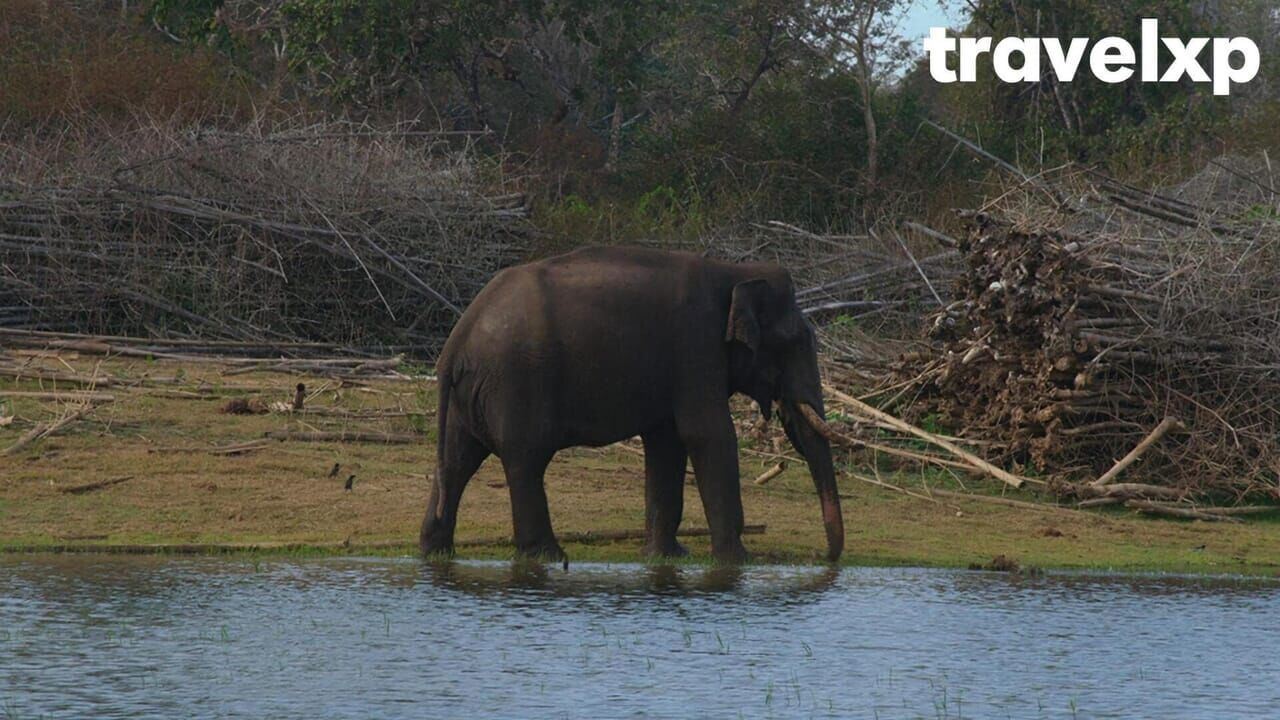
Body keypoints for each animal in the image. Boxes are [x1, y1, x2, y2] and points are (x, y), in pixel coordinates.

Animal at [414, 243, 844, 563]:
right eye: (795, 342)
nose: (825, 558)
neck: (733, 272)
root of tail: (457, 338)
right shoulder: (695, 346)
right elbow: (708, 435)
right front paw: (737, 561)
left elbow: (667, 442)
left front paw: (667, 557)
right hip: (517, 382)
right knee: (525, 459)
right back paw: (549, 557)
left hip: (470, 395)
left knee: (457, 461)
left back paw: (436, 551)